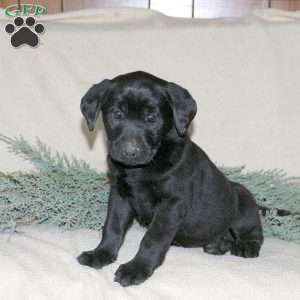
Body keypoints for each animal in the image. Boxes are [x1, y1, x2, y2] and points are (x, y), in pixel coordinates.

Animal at [78, 69, 264, 286]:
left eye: (151, 117)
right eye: (117, 114)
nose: (130, 152)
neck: (141, 169)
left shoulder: (171, 204)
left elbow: (152, 238)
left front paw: (137, 268)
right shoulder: (120, 194)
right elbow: (112, 226)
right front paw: (101, 254)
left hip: (243, 202)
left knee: (254, 232)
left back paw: (245, 246)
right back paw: (218, 245)